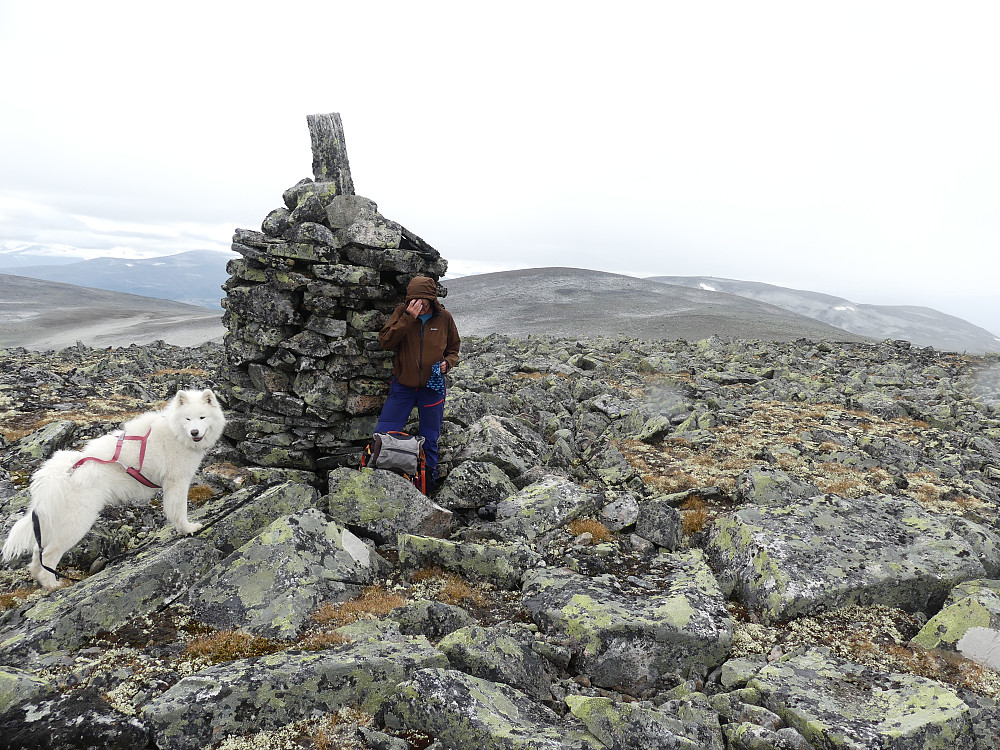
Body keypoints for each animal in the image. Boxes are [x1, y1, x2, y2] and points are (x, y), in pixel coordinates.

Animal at [1, 390, 225, 592]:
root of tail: (60, 474)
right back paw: (53, 585)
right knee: (48, 555)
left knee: (37, 554)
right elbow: (179, 511)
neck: (176, 433)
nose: (194, 432)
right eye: (188, 419)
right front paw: (188, 529)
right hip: (77, 523)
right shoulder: (177, 481)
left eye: (202, 417)